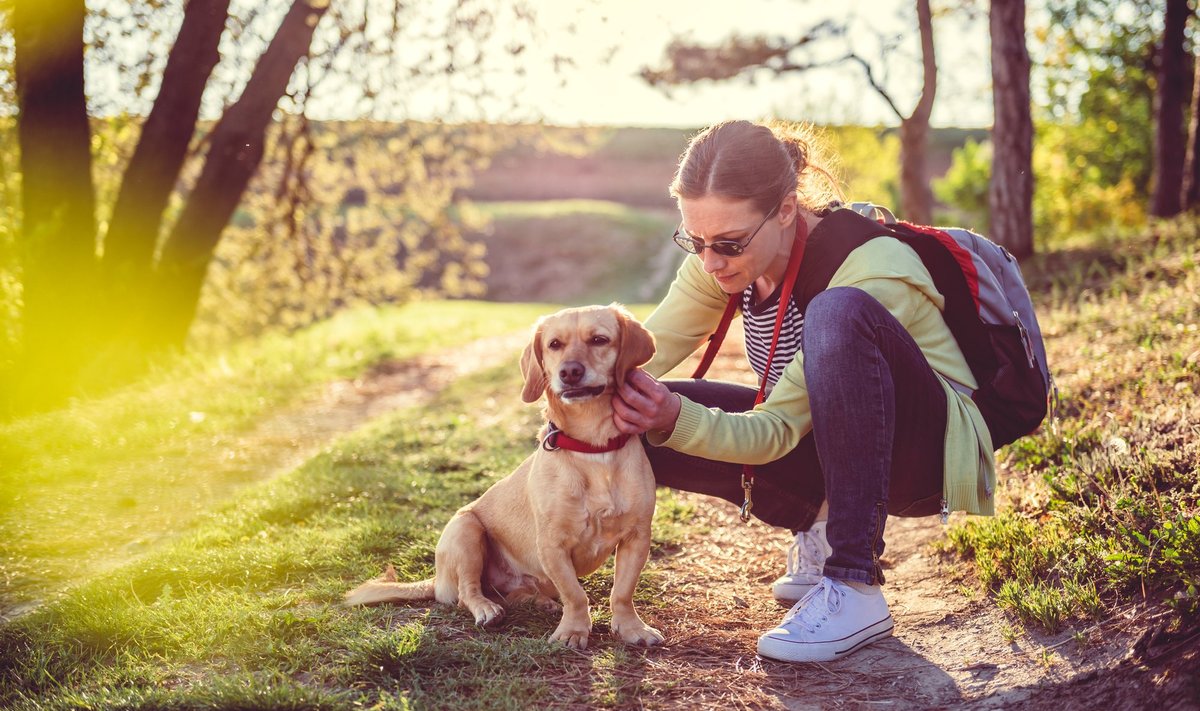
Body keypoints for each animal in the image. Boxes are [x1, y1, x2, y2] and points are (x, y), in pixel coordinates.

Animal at [345, 302, 667, 648]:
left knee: (517, 594)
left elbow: (622, 592)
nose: (569, 372)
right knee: (467, 593)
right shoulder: (552, 545)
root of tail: (437, 579)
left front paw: (631, 628)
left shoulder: (637, 537)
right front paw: (574, 631)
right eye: (555, 344)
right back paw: (487, 609)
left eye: (599, 340)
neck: (592, 448)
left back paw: (538, 601)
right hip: (466, 530)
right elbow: (576, 595)